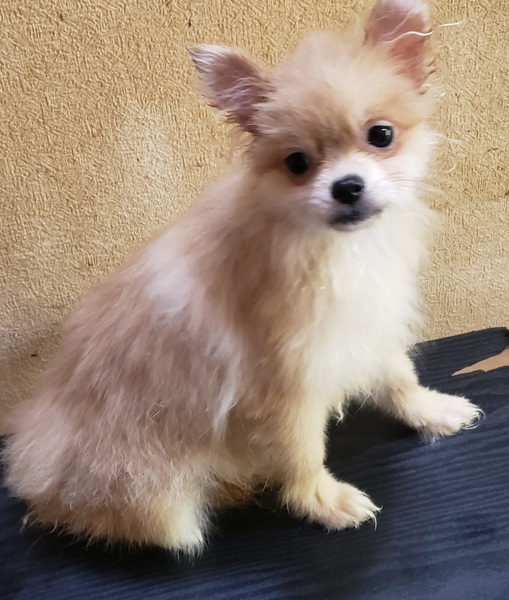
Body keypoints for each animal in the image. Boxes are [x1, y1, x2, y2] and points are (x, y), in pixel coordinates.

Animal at [4, 0, 481, 555]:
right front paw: (321, 499)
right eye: (297, 163)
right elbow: (302, 450)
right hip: (152, 493)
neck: (329, 246)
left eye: (380, 135)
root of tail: (36, 474)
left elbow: (398, 377)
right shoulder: (284, 383)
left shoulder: (363, 323)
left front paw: (431, 411)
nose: (346, 187)